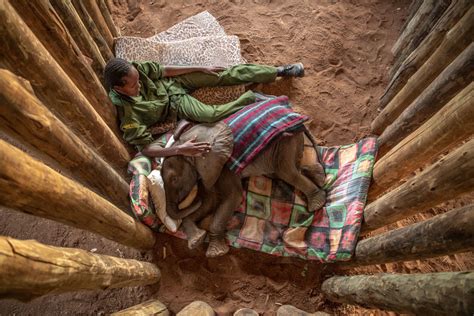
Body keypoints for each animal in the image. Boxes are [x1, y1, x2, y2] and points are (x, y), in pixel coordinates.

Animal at [160, 121, 326, 256]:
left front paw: (216, 253)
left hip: (285, 141)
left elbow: (233, 197)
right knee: (284, 171)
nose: (194, 198)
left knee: (287, 172)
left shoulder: (224, 166)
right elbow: (210, 201)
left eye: (174, 179)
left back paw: (317, 203)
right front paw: (196, 241)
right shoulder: (210, 171)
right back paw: (320, 176)